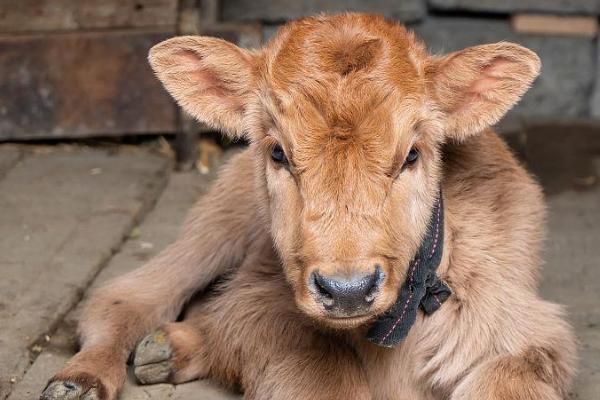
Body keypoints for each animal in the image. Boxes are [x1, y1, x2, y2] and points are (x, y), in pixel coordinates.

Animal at [41, 13, 576, 400]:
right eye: (278, 151)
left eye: (412, 154)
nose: (347, 290)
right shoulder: (262, 307)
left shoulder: (522, 332)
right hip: (216, 227)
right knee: (129, 297)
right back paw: (80, 381)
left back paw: (165, 352)